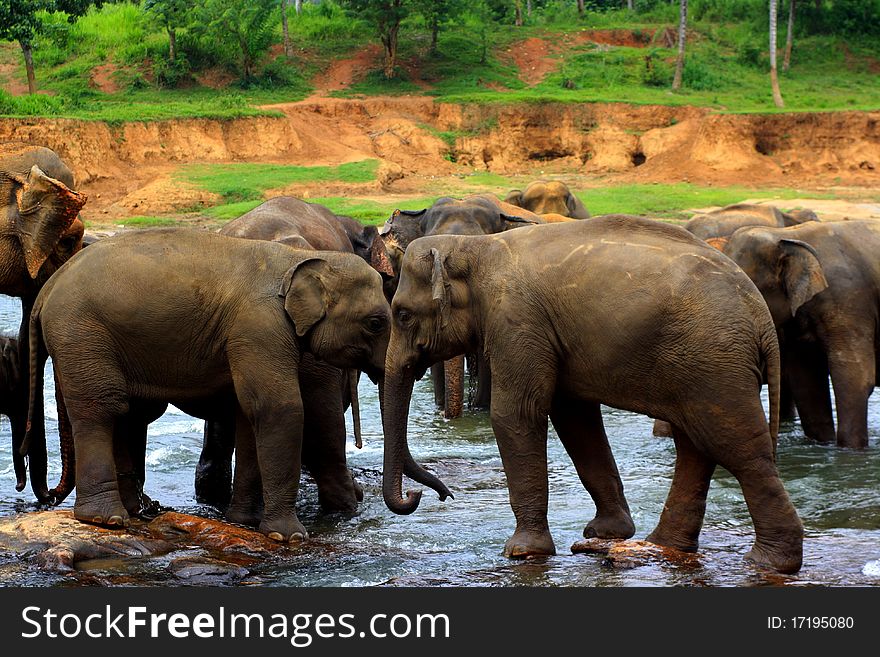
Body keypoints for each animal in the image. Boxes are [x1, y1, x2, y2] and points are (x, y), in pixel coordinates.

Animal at [23, 228, 402, 540]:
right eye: (376, 323)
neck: (294, 260)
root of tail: (47, 288)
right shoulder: (258, 327)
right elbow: (280, 409)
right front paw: (289, 536)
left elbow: (250, 414)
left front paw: (245, 522)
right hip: (80, 333)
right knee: (102, 409)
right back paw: (107, 520)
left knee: (124, 413)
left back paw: (135, 512)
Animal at [384, 217, 804, 576]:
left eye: (402, 315)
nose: (432, 496)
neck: (474, 248)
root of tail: (761, 316)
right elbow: (574, 418)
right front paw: (606, 534)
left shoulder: (516, 321)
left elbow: (516, 414)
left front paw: (521, 552)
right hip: (698, 365)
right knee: (696, 446)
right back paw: (663, 545)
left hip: (715, 362)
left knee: (736, 449)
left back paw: (770, 562)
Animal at [720, 222, 880, 452]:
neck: (786, 235)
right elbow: (806, 383)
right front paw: (823, 446)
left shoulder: (849, 302)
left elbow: (855, 378)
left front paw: (850, 452)